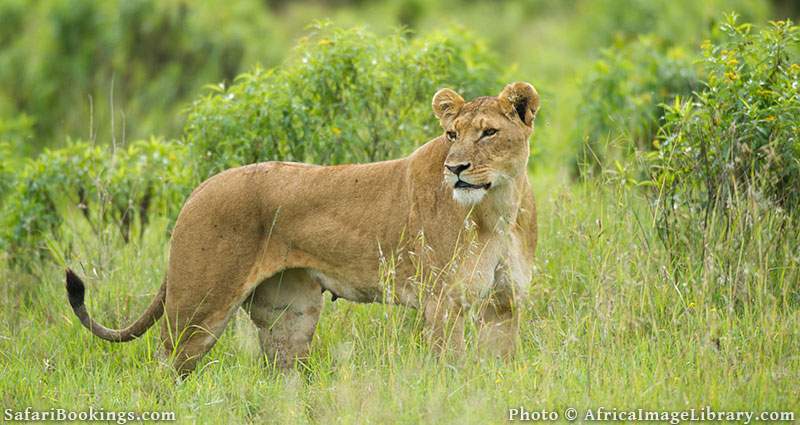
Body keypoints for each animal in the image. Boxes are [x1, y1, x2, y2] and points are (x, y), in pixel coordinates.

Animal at [65, 82, 539, 375]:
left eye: (488, 133)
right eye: (451, 135)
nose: (455, 168)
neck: (498, 207)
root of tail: (196, 190)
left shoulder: (503, 304)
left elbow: (498, 367)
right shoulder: (444, 303)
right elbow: (450, 369)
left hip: (289, 315)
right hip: (197, 308)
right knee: (164, 368)